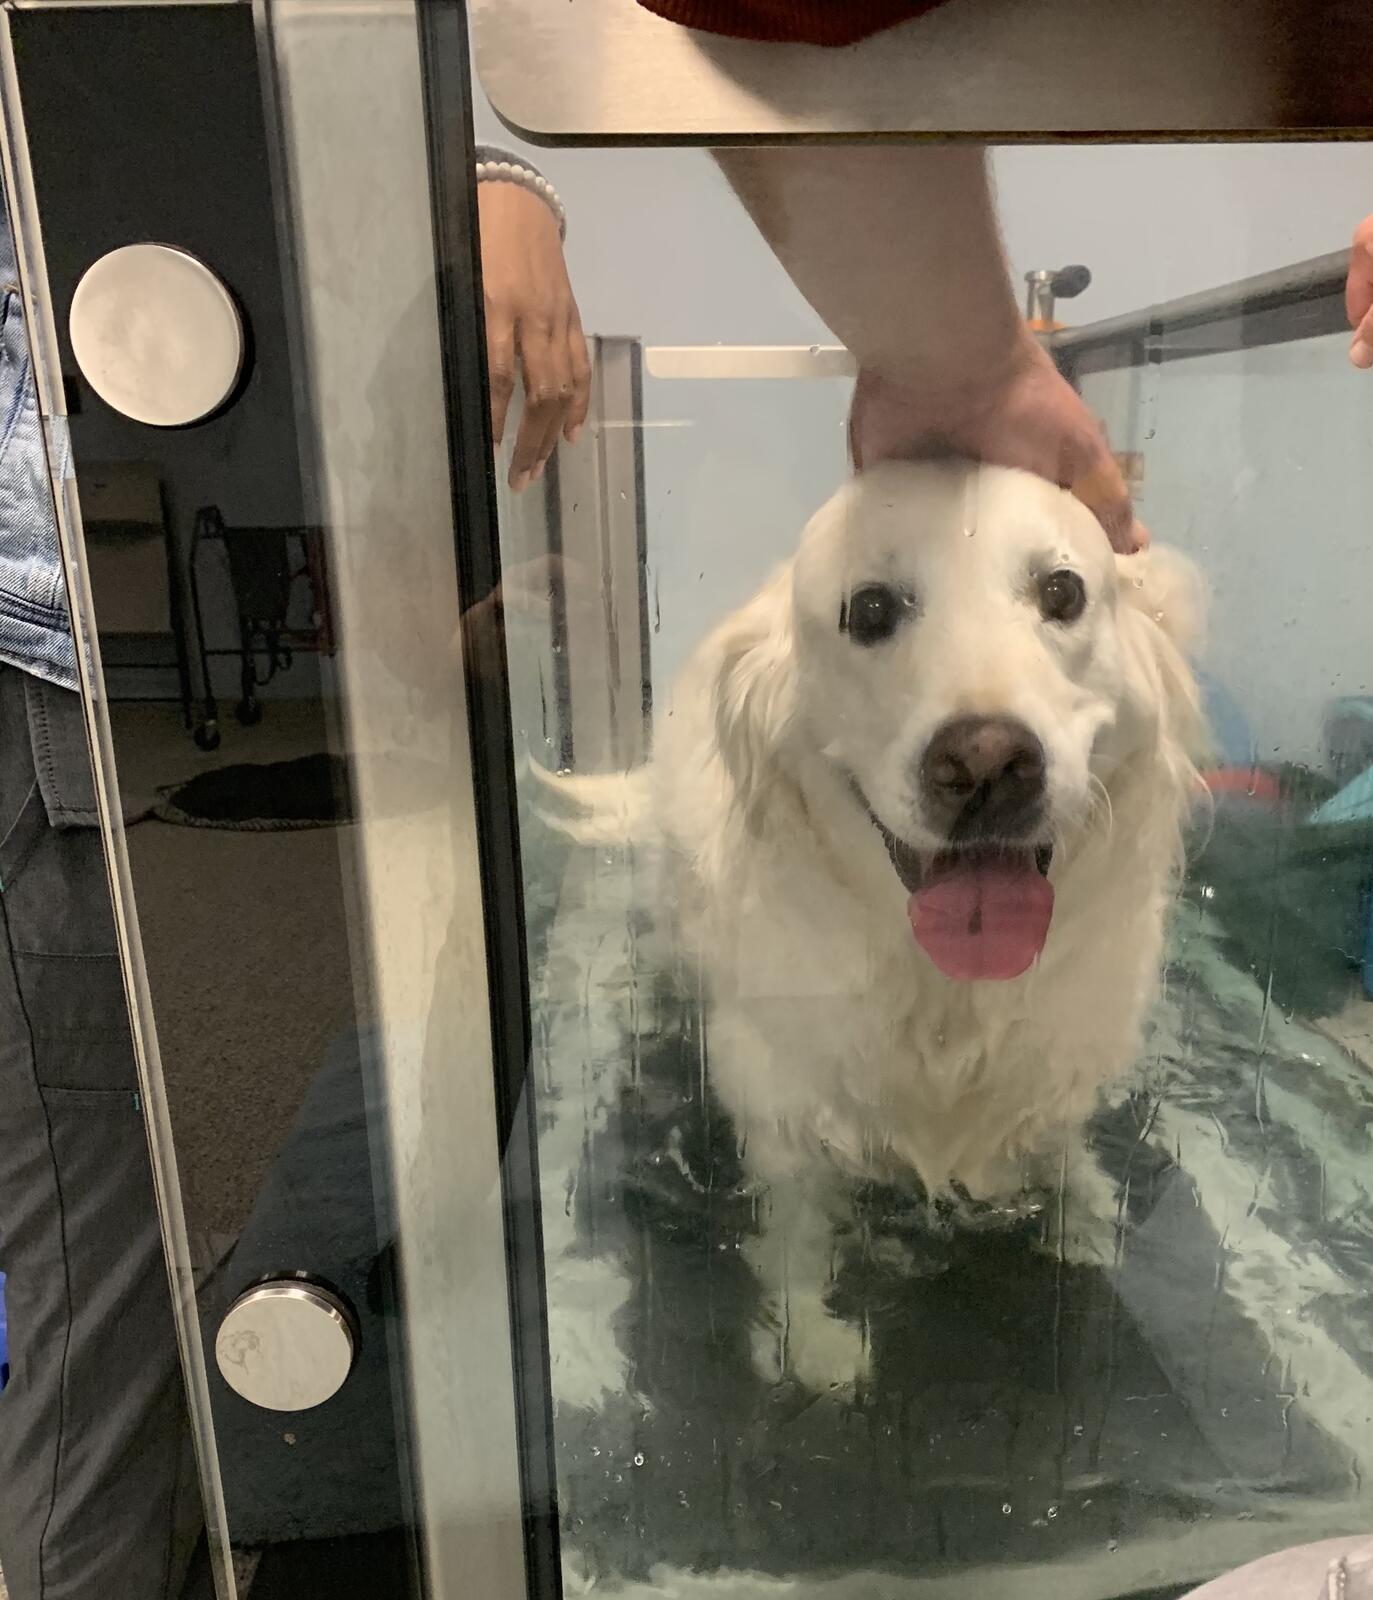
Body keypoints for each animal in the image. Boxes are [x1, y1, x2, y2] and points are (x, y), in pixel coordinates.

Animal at [538, 458, 1206, 1392]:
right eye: (871, 610)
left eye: (1062, 591)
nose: (986, 763)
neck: (944, 990)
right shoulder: (784, 1107)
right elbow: (795, 1228)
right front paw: (812, 1342)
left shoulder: (1055, 1059)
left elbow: (1063, 1147)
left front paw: (1085, 1217)